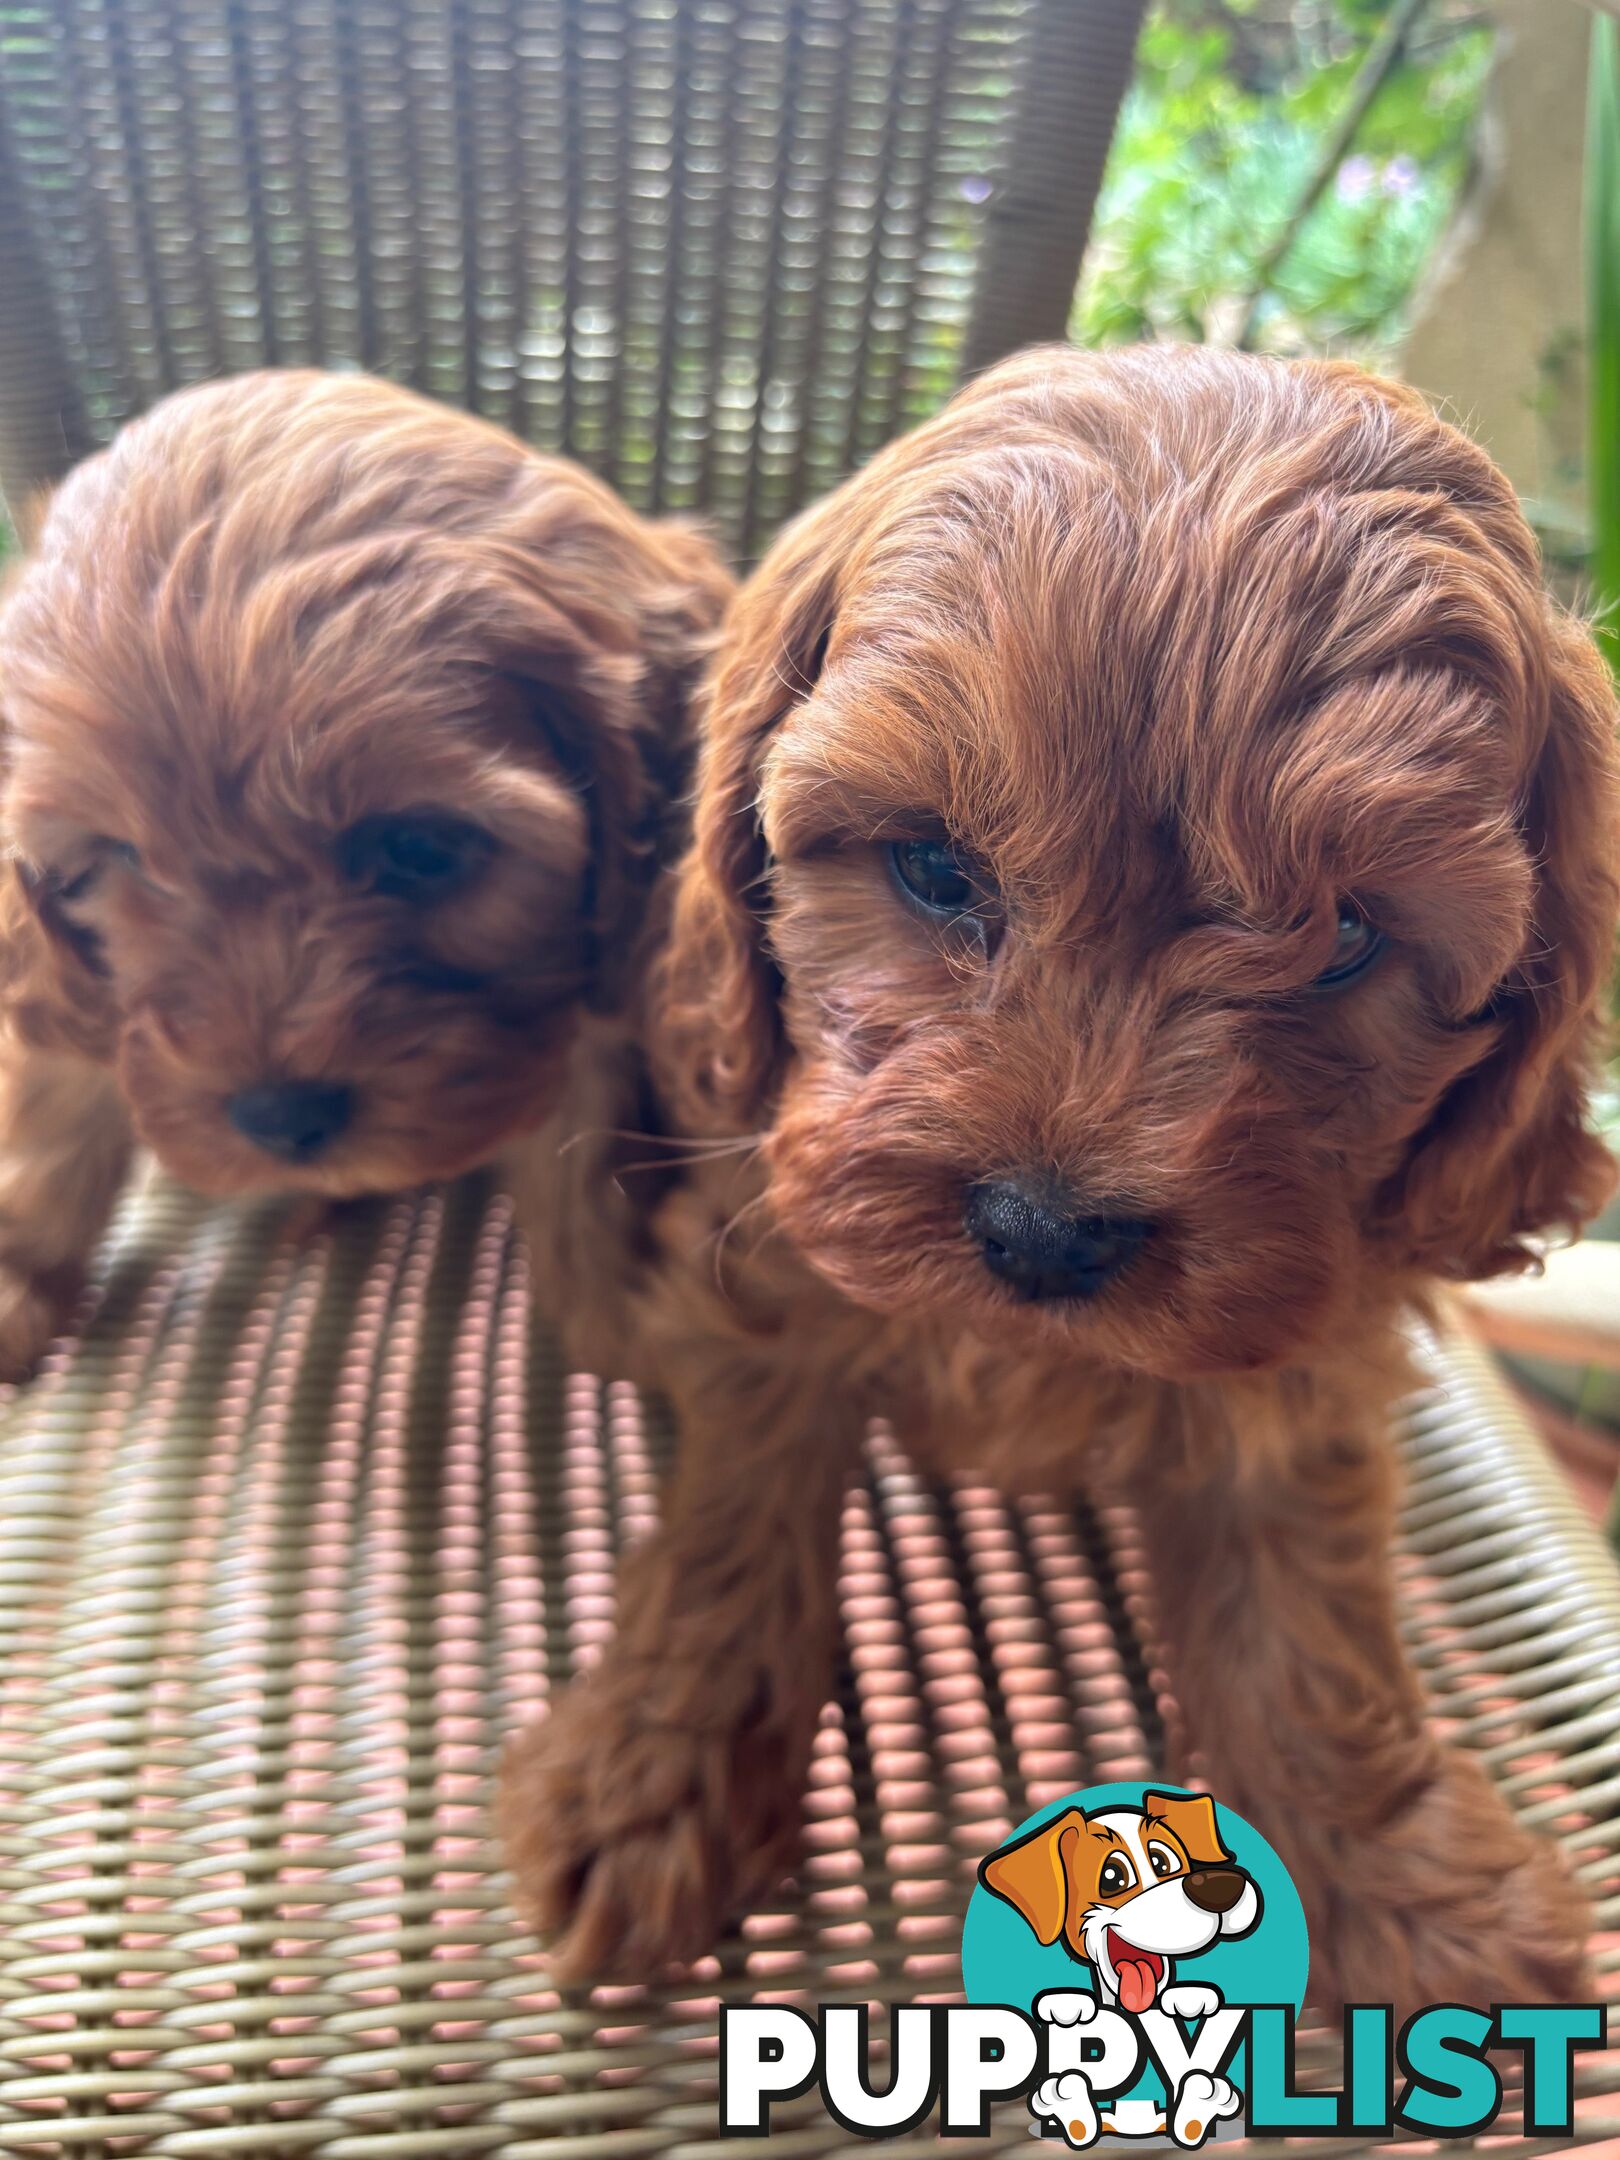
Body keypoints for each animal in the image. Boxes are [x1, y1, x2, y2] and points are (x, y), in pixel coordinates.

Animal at [0, 369, 730, 1373]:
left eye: (423, 848)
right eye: (118, 859)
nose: (280, 1119)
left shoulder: (585, 1016)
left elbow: (583, 1170)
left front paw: (624, 1316)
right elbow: (54, 1112)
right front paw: (18, 1277)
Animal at [509, 345, 1620, 2013]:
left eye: (1349, 937)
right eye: (934, 869)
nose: (1042, 1233)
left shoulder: (1305, 1371)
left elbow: (1312, 1626)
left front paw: (1414, 1890)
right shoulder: (772, 1284)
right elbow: (733, 1523)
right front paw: (656, 1778)